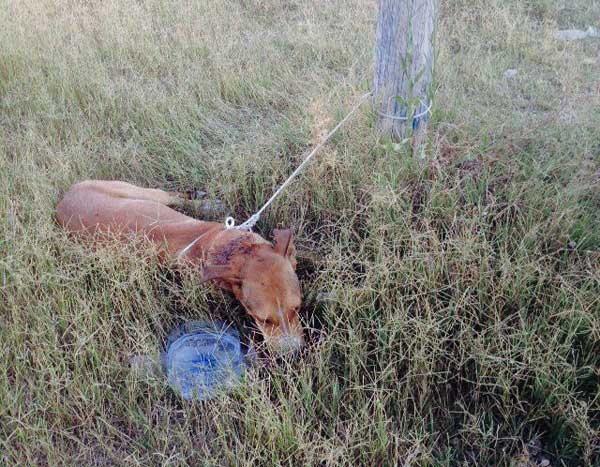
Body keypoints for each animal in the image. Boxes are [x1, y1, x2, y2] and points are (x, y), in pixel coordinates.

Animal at [57, 180, 304, 354]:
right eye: (263, 320)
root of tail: (61, 203)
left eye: (297, 309)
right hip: (140, 192)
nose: (292, 354)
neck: (231, 249)